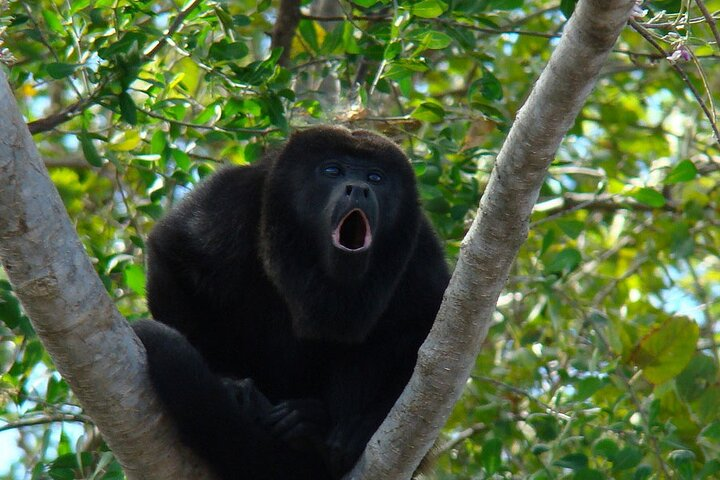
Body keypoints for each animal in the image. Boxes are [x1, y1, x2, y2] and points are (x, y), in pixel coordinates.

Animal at [134, 126, 450, 480]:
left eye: (376, 177)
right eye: (332, 171)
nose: (359, 188)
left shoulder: (421, 250)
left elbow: (423, 333)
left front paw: (362, 428)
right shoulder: (228, 199)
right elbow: (174, 252)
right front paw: (229, 383)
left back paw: (312, 428)